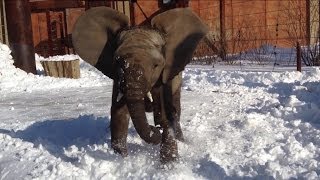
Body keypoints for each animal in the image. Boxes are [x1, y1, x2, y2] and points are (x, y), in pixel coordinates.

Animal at [72, 6, 208, 163]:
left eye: (156, 65)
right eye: (117, 61)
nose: (155, 129)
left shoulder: (165, 72)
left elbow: (164, 111)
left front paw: (169, 163)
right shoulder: (118, 78)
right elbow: (119, 112)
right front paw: (121, 160)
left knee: (174, 107)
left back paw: (181, 139)